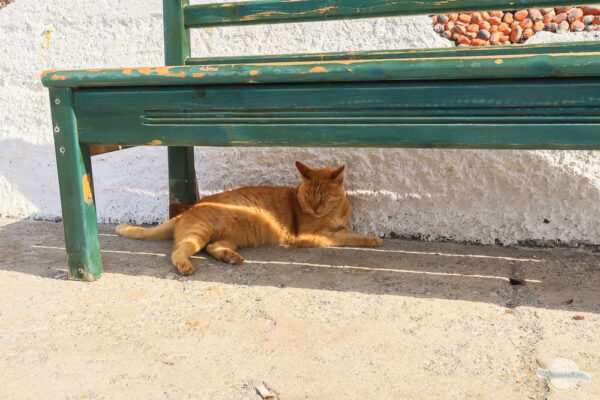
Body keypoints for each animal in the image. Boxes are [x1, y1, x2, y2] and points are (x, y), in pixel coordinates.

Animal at [115, 160, 382, 276]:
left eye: (323, 197)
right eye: (308, 196)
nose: (315, 208)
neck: (333, 213)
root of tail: (188, 209)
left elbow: (346, 232)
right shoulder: (310, 236)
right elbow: (348, 238)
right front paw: (372, 240)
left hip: (228, 238)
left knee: (212, 247)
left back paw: (231, 258)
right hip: (198, 233)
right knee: (178, 250)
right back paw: (185, 266)